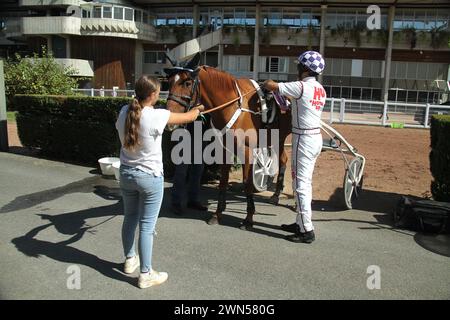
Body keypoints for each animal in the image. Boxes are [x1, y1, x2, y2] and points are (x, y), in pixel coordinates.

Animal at [164, 53, 292, 230]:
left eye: (187, 82)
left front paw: (249, 218)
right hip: (275, 138)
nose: (169, 121)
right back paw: (276, 194)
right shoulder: (224, 149)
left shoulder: (246, 151)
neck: (233, 105)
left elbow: (247, 182)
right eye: (169, 82)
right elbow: (223, 181)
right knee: (283, 159)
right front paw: (217, 214)